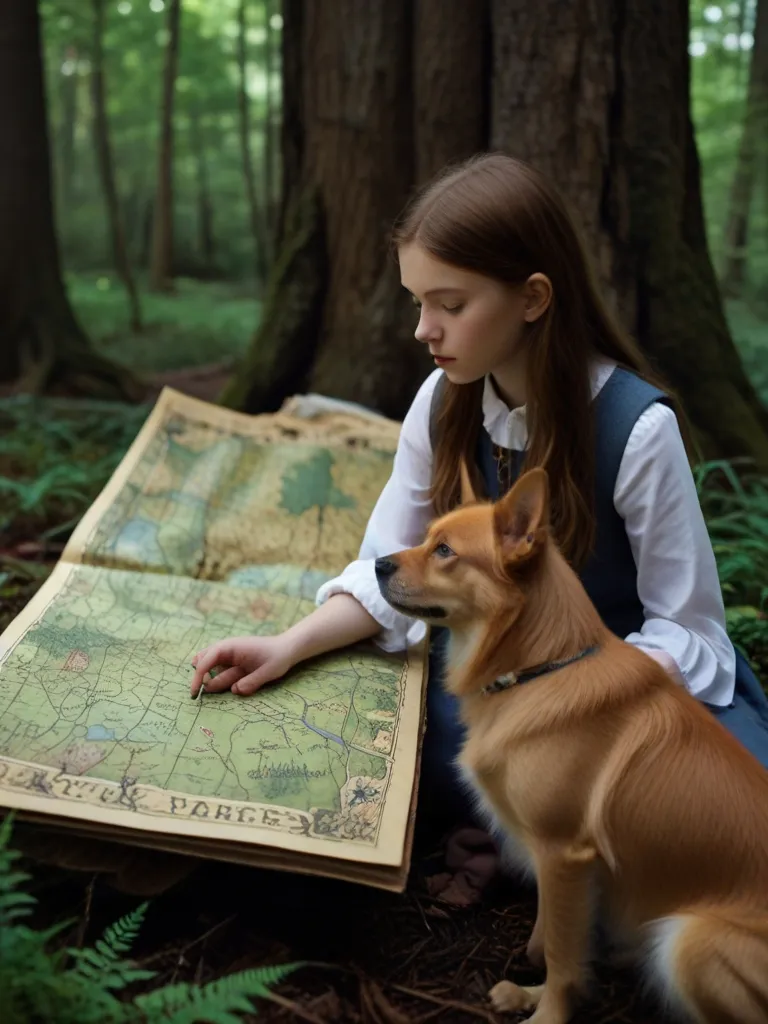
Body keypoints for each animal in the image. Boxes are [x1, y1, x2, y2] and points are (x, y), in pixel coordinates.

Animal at [376, 468, 768, 1019]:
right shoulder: (559, 864)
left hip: (690, 941)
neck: (540, 670)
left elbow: (562, 955)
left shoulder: (563, 853)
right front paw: (530, 991)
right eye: (428, 537)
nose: (377, 564)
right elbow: (553, 937)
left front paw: (548, 1014)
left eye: (445, 551)